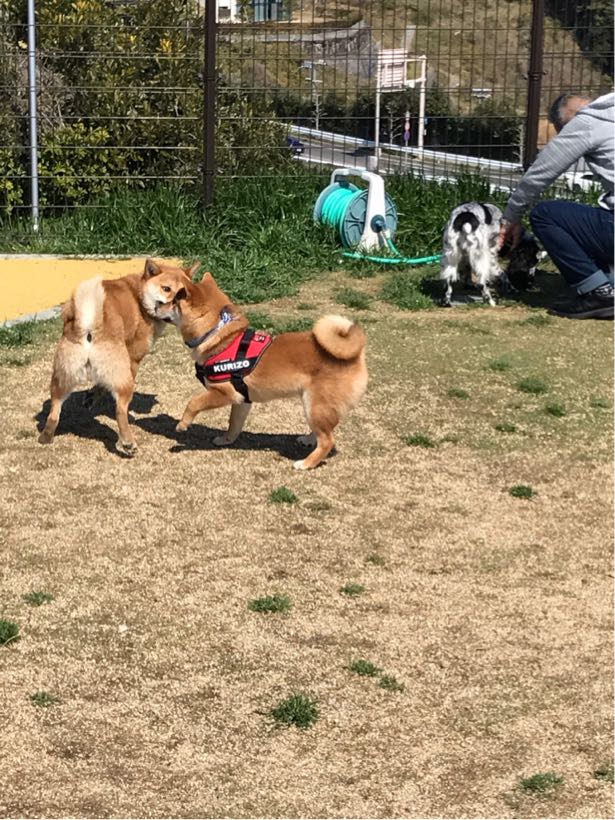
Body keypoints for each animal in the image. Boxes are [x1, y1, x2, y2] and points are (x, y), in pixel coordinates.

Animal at [39, 259, 195, 455]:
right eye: (167, 289)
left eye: (185, 292)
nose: (178, 304)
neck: (139, 295)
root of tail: (88, 327)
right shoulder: (133, 360)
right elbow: (103, 387)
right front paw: (93, 396)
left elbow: (99, 386)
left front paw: (90, 396)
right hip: (123, 379)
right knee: (120, 411)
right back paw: (128, 442)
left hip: (62, 378)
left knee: (54, 410)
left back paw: (46, 436)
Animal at [158, 270, 368, 470]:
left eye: (175, 301)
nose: (157, 306)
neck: (219, 334)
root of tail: (355, 354)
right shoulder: (242, 399)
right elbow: (233, 424)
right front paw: (226, 440)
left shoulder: (225, 393)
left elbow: (194, 402)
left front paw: (183, 424)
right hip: (316, 406)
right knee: (325, 431)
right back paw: (309, 439)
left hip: (314, 405)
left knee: (327, 440)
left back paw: (306, 463)